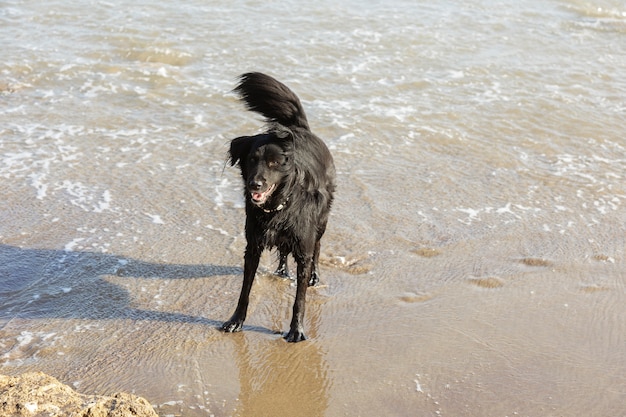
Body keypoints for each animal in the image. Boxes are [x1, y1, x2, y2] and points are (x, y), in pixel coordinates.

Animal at [221, 72, 334, 342]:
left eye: (274, 163)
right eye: (252, 160)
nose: (255, 184)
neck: (277, 207)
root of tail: (301, 130)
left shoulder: (303, 249)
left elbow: (299, 299)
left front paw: (296, 330)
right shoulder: (253, 246)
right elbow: (245, 290)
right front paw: (236, 321)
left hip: (321, 221)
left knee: (318, 246)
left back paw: (315, 276)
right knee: (283, 249)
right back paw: (282, 271)